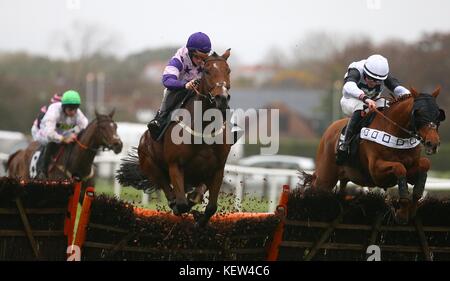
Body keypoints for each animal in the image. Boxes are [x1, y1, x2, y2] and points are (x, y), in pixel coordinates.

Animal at [118, 49, 234, 225]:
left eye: (228, 70)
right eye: (207, 71)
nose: (222, 98)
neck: (203, 128)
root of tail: (143, 139)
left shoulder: (217, 169)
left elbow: (210, 207)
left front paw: (199, 217)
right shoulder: (175, 166)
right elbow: (182, 204)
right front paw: (188, 211)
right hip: (150, 165)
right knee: (167, 189)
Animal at [302, 87, 446, 223]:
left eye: (438, 114)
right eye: (419, 113)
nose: (433, 143)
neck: (396, 133)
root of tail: (328, 131)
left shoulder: (411, 169)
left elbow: (424, 165)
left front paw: (410, 210)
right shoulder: (376, 173)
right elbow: (399, 167)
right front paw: (402, 213)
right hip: (325, 178)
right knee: (314, 189)